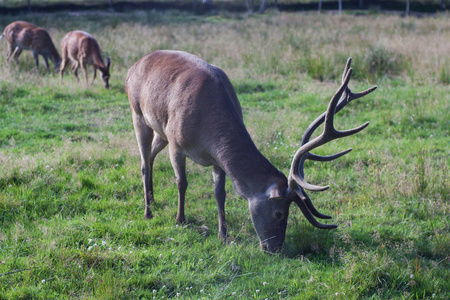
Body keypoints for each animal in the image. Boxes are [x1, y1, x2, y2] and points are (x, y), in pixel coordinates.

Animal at [126, 50, 376, 252]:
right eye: (279, 213)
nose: (274, 249)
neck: (207, 130)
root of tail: (133, 66)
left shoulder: (217, 160)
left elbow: (220, 193)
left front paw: (223, 235)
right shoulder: (177, 144)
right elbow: (182, 182)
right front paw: (180, 220)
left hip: (160, 131)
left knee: (150, 157)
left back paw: (152, 199)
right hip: (139, 115)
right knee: (144, 162)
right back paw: (148, 212)